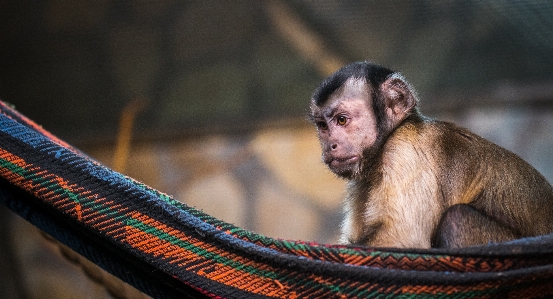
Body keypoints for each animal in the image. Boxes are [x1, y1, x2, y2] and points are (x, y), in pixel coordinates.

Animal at [308, 61, 552, 248]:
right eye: (323, 126)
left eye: (342, 120)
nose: (330, 145)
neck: (388, 138)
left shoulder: (405, 149)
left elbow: (403, 239)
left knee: (457, 218)